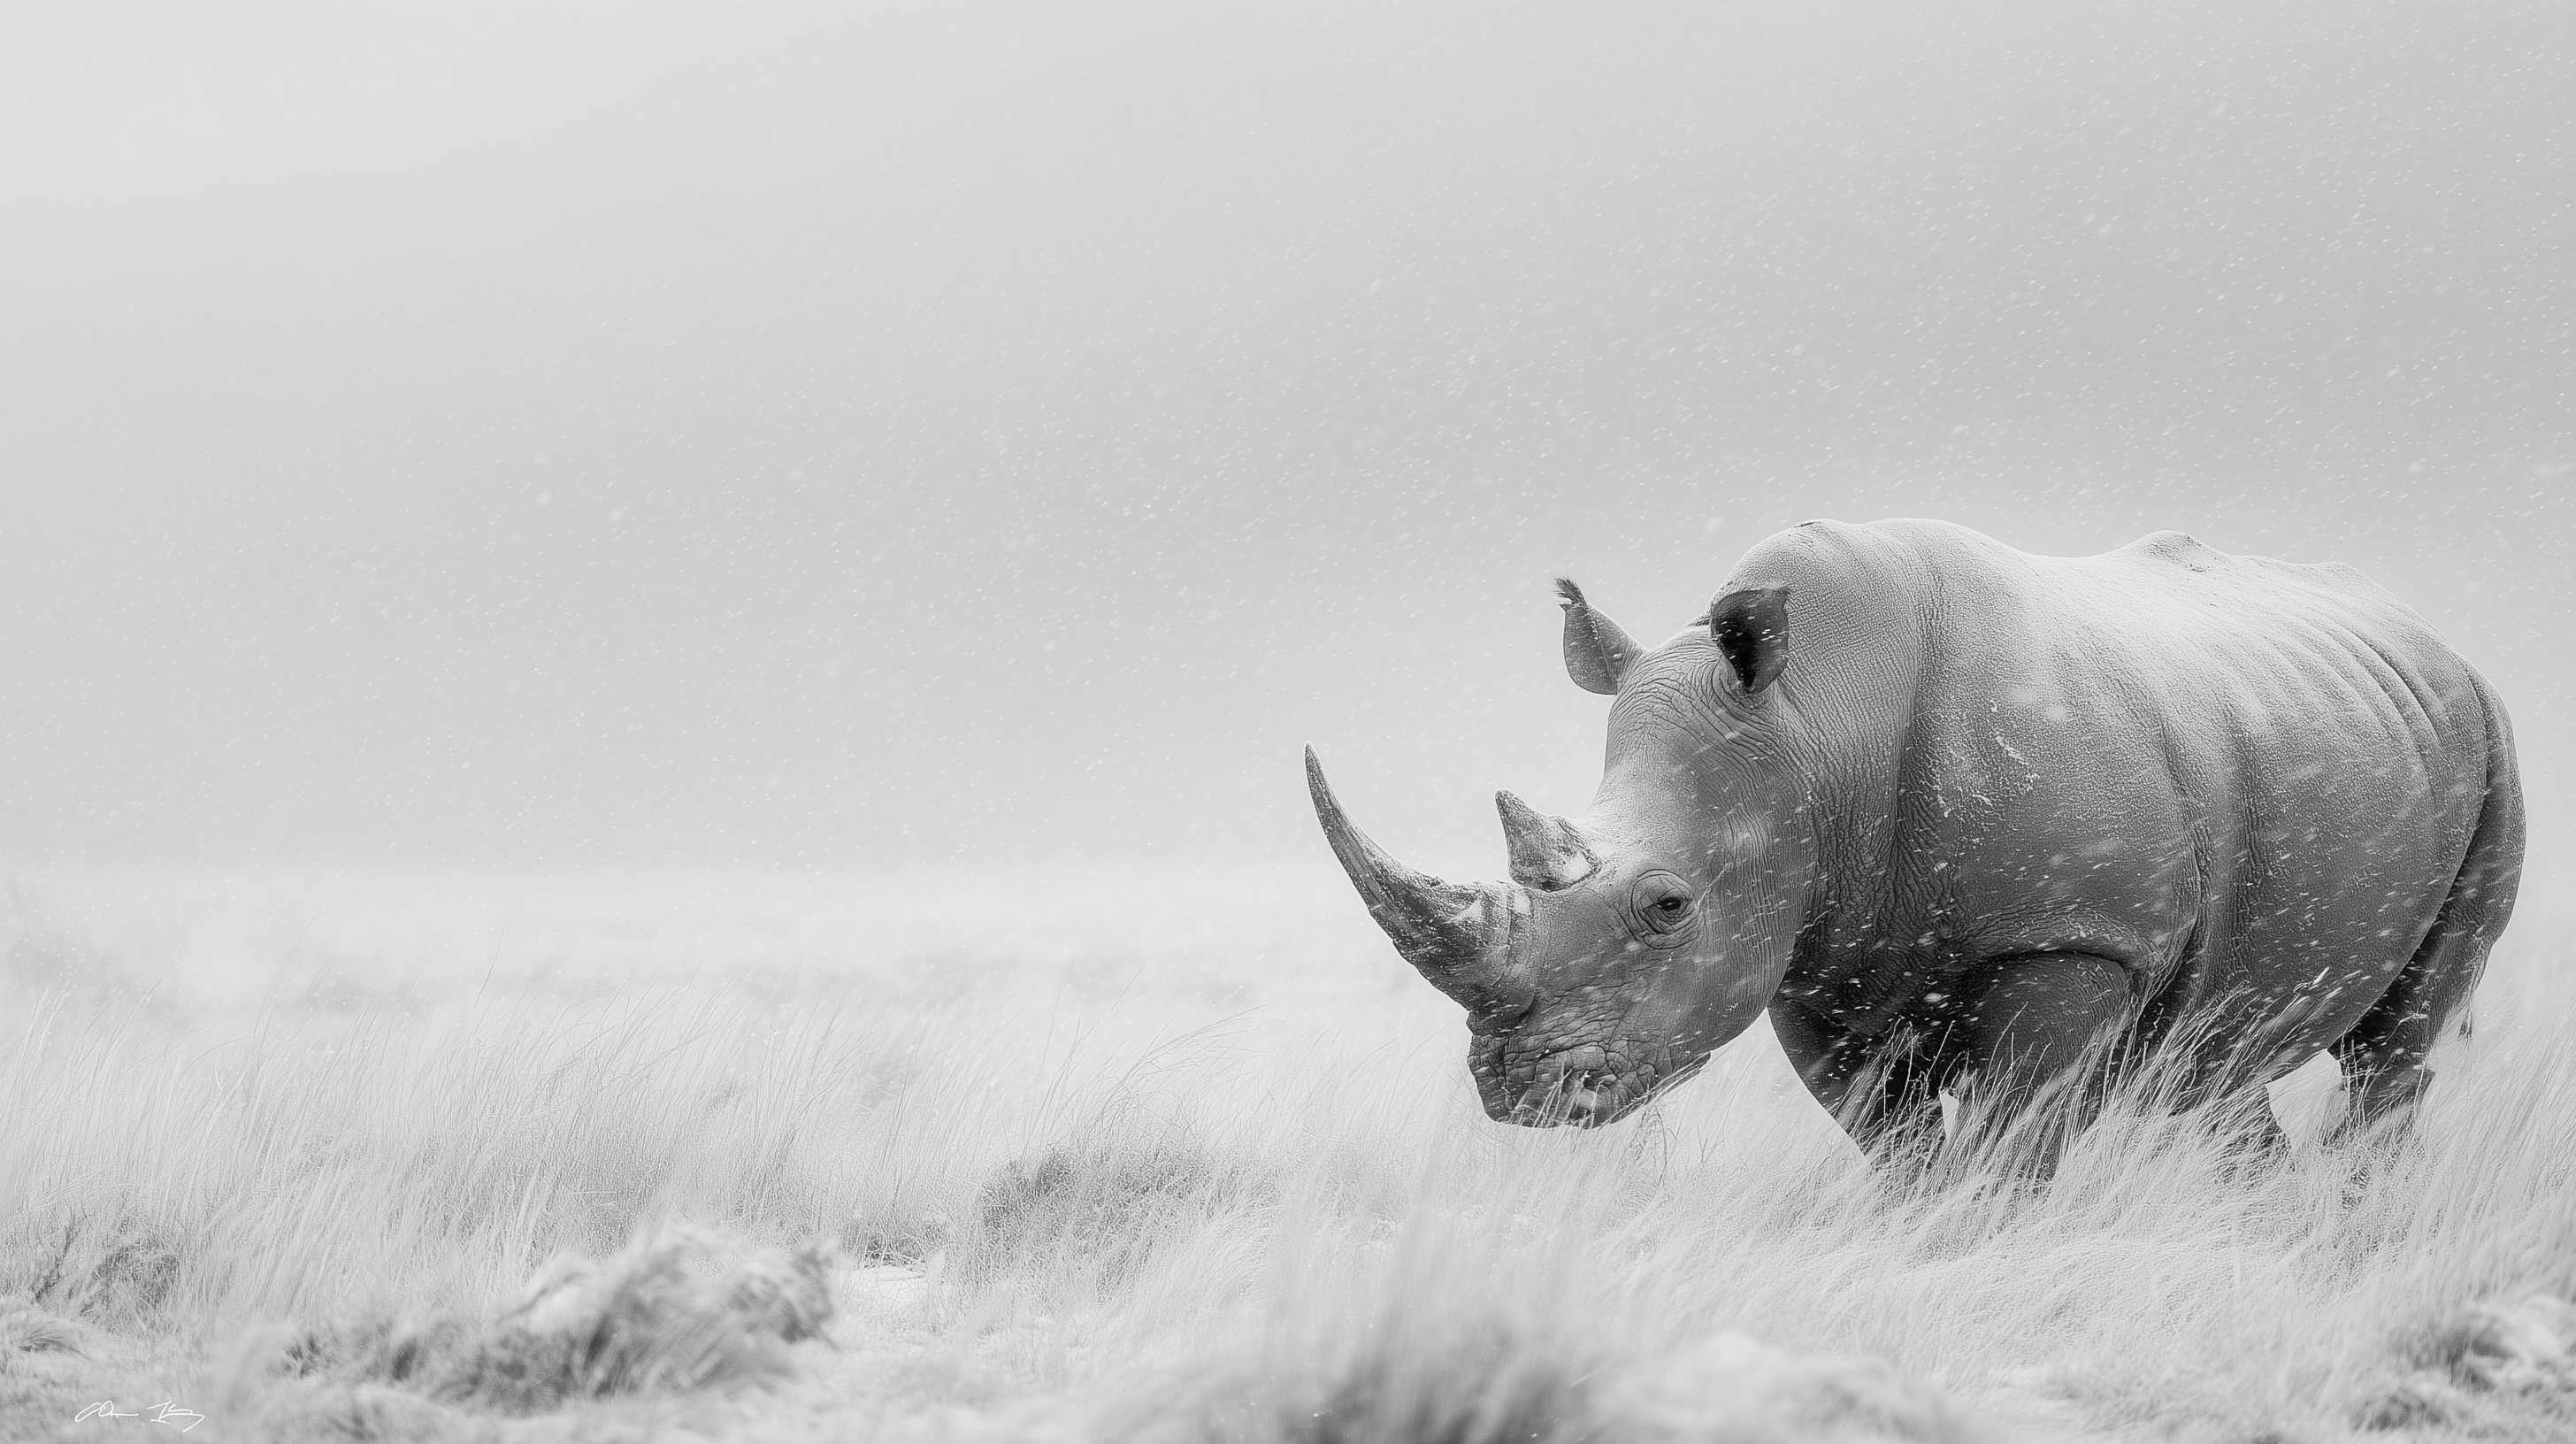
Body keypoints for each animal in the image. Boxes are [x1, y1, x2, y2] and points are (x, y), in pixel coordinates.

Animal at [1308, 519, 2521, 1158]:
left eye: (1666, 906)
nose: (1517, 1089)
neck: (1810, 726)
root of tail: (2428, 637)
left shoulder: (2068, 934)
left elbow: (2006, 1143)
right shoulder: (1809, 949)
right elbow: (1894, 1149)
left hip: (2492, 746)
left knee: (2393, 1045)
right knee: (2208, 1060)